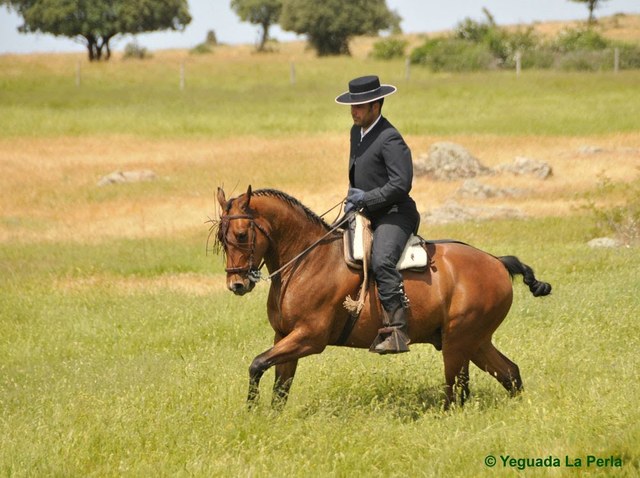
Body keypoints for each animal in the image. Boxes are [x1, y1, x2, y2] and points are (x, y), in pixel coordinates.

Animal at [212, 185, 552, 410]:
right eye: (221, 238)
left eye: (241, 234)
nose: (237, 284)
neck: (307, 261)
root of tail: (496, 262)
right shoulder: (284, 336)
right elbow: (280, 387)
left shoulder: (309, 338)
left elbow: (257, 364)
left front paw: (251, 409)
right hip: (476, 341)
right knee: (509, 374)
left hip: (458, 342)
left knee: (454, 390)